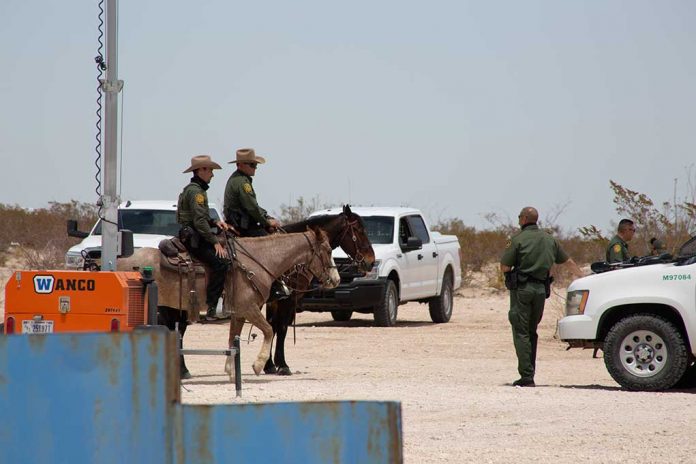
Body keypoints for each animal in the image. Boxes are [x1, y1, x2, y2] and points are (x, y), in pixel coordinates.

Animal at [243, 207, 378, 376]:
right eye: (359, 230)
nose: (371, 261)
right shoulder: (288, 298)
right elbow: (281, 328)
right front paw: (282, 365)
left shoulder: (275, 301)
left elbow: (271, 327)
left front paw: (269, 365)